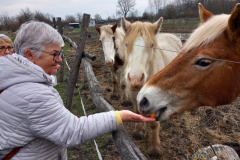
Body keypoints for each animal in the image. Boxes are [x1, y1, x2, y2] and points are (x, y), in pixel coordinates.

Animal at [122, 16, 182, 156]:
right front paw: (139, 132)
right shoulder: (133, 95)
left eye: (152, 45)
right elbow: (137, 112)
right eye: (126, 44)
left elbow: (154, 124)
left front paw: (154, 148)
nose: (135, 79)